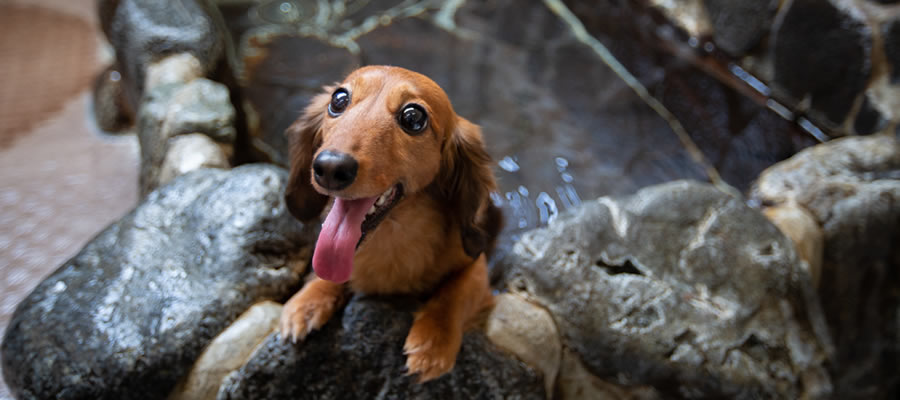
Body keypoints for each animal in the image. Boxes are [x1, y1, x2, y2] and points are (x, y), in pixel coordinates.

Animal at [280, 65, 502, 382]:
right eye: (338, 100)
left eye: (413, 117)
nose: (330, 167)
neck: (390, 238)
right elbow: (326, 273)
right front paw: (308, 301)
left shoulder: (477, 265)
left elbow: (455, 293)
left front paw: (434, 341)